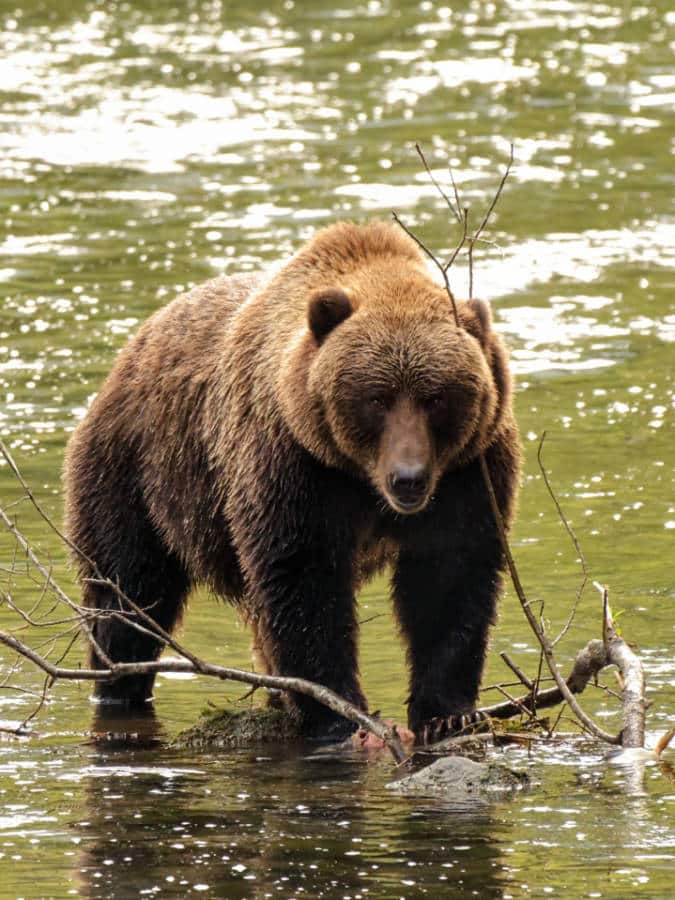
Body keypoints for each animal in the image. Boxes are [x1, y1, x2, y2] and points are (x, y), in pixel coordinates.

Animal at [63, 220, 520, 744]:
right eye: (377, 398)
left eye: (436, 397)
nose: (408, 479)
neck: (359, 479)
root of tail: (132, 348)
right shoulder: (291, 462)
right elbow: (302, 577)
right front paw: (339, 714)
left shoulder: (469, 471)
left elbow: (450, 575)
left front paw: (446, 711)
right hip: (136, 473)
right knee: (128, 593)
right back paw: (117, 684)